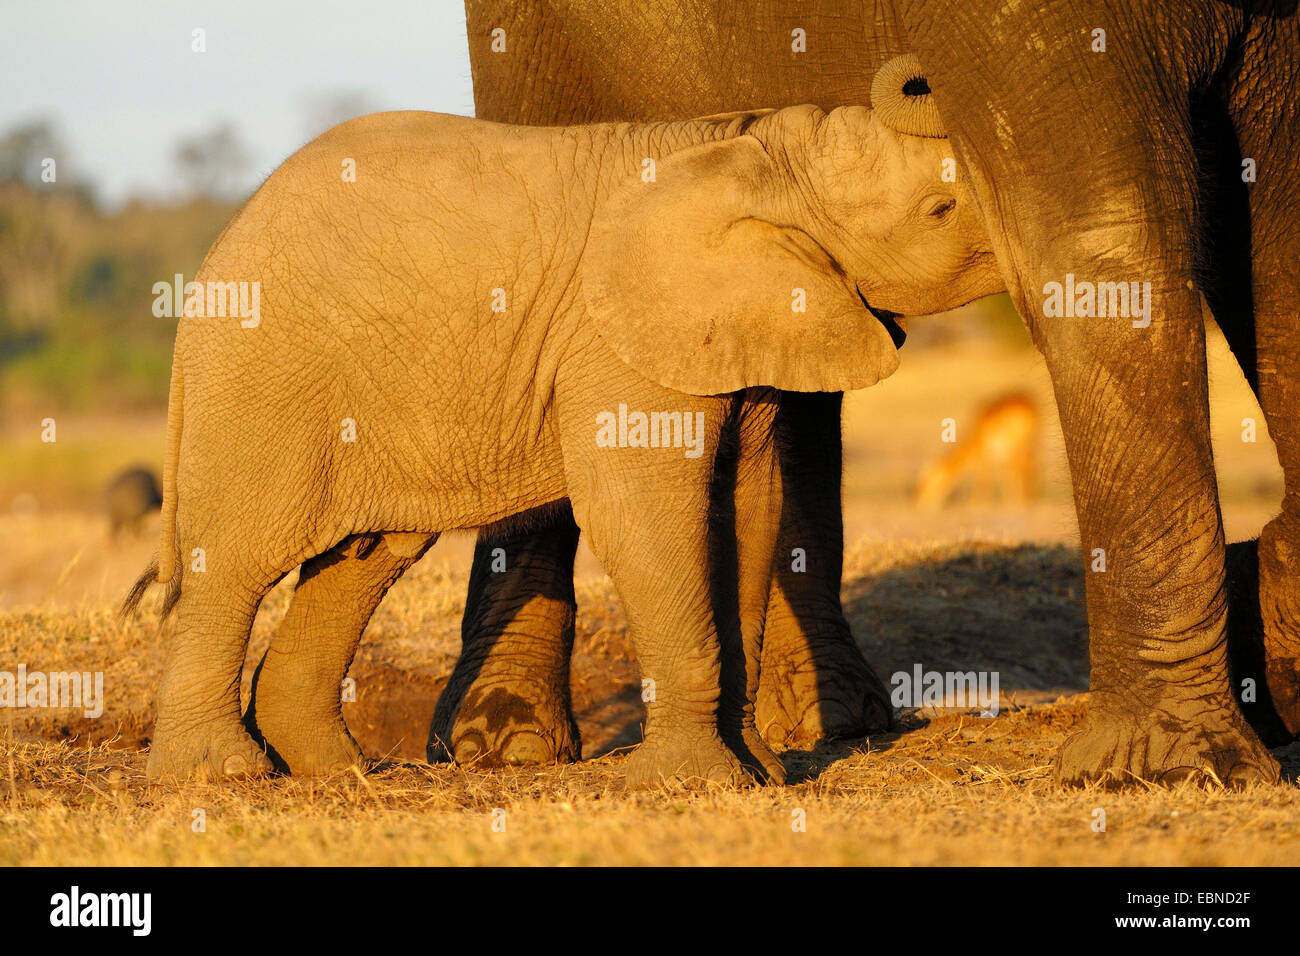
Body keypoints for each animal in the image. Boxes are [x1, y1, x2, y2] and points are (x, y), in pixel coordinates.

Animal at [126, 61, 998, 790]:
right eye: (940, 209)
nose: (916, 71)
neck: (764, 147)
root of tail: (213, 257)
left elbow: (748, 513)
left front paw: (763, 775)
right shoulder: (612, 342)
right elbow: (645, 518)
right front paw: (691, 784)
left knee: (365, 556)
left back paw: (341, 769)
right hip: (262, 378)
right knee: (234, 563)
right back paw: (219, 774)